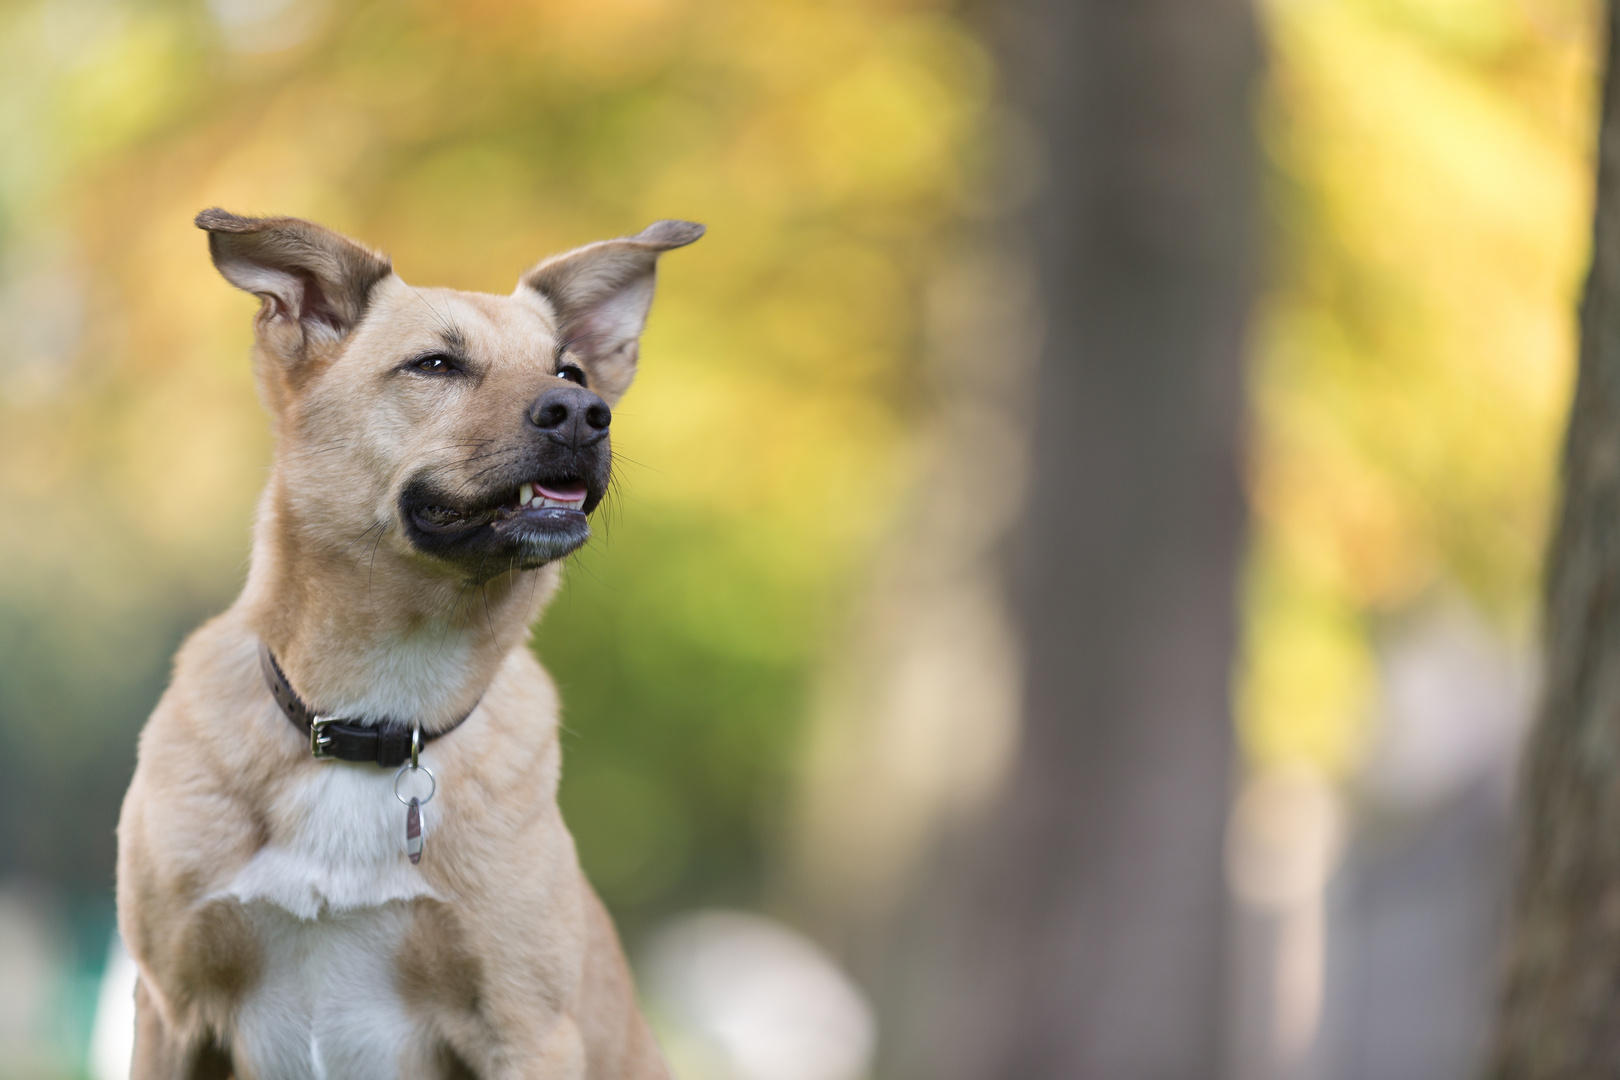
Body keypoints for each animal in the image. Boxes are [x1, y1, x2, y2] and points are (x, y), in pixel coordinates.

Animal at [114, 210, 696, 1080]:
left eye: (572, 370)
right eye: (436, 364)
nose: (584, 414)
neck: (380, 712)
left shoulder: (527, 1027)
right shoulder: (170, 1010)